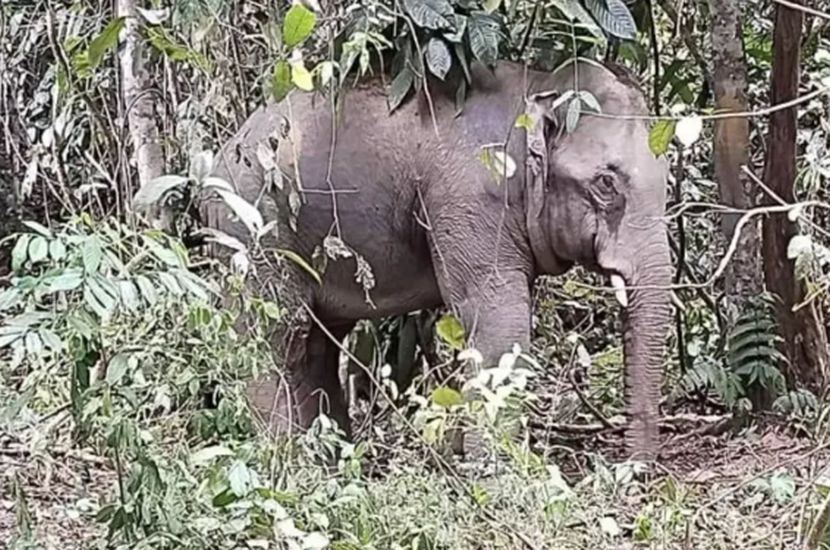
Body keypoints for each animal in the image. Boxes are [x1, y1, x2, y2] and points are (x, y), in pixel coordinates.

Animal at [202, 59, 672, 459]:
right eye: (606, 183)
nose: (633, 473)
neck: (537, 85)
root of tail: (221, 155)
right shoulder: (471, 200)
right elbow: (498, 319)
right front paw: (496, 474)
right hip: (254, 230)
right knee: (274, 335)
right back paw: (285, 464)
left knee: (317, 344)